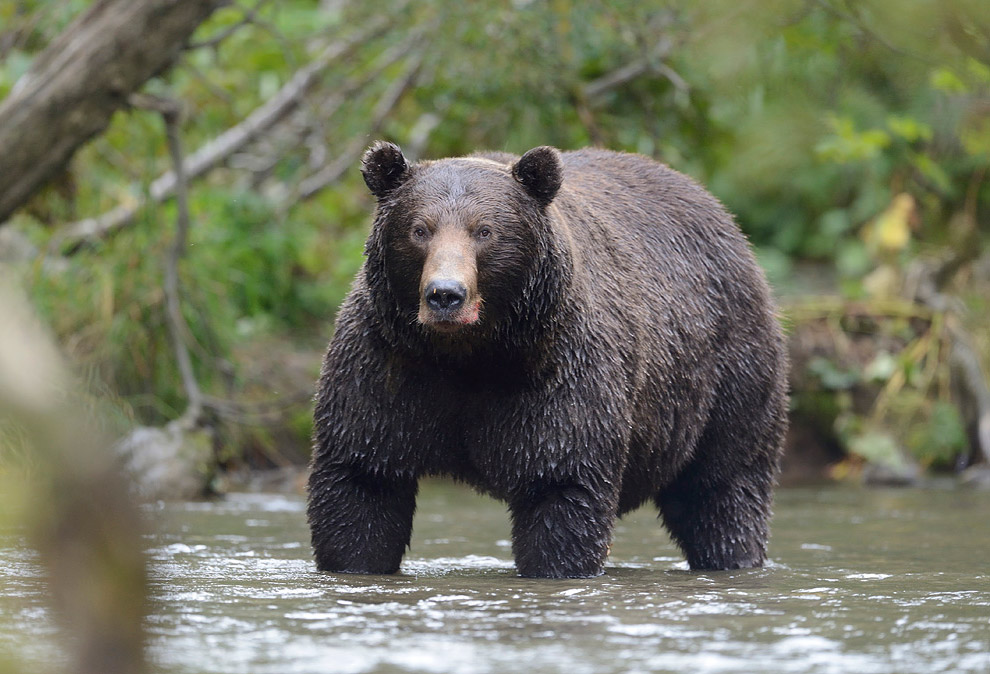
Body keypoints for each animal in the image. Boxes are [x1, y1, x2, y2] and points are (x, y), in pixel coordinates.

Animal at [310, 142, 792, 576]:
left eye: (485, 230)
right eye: (419, 229)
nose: (445, 295)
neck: (469, 353)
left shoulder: (558, 369)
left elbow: (561, 484)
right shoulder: (387, 365)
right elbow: (362, 482)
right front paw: (356, 561)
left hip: (729, 369)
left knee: (723, 484)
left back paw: (732, 554)